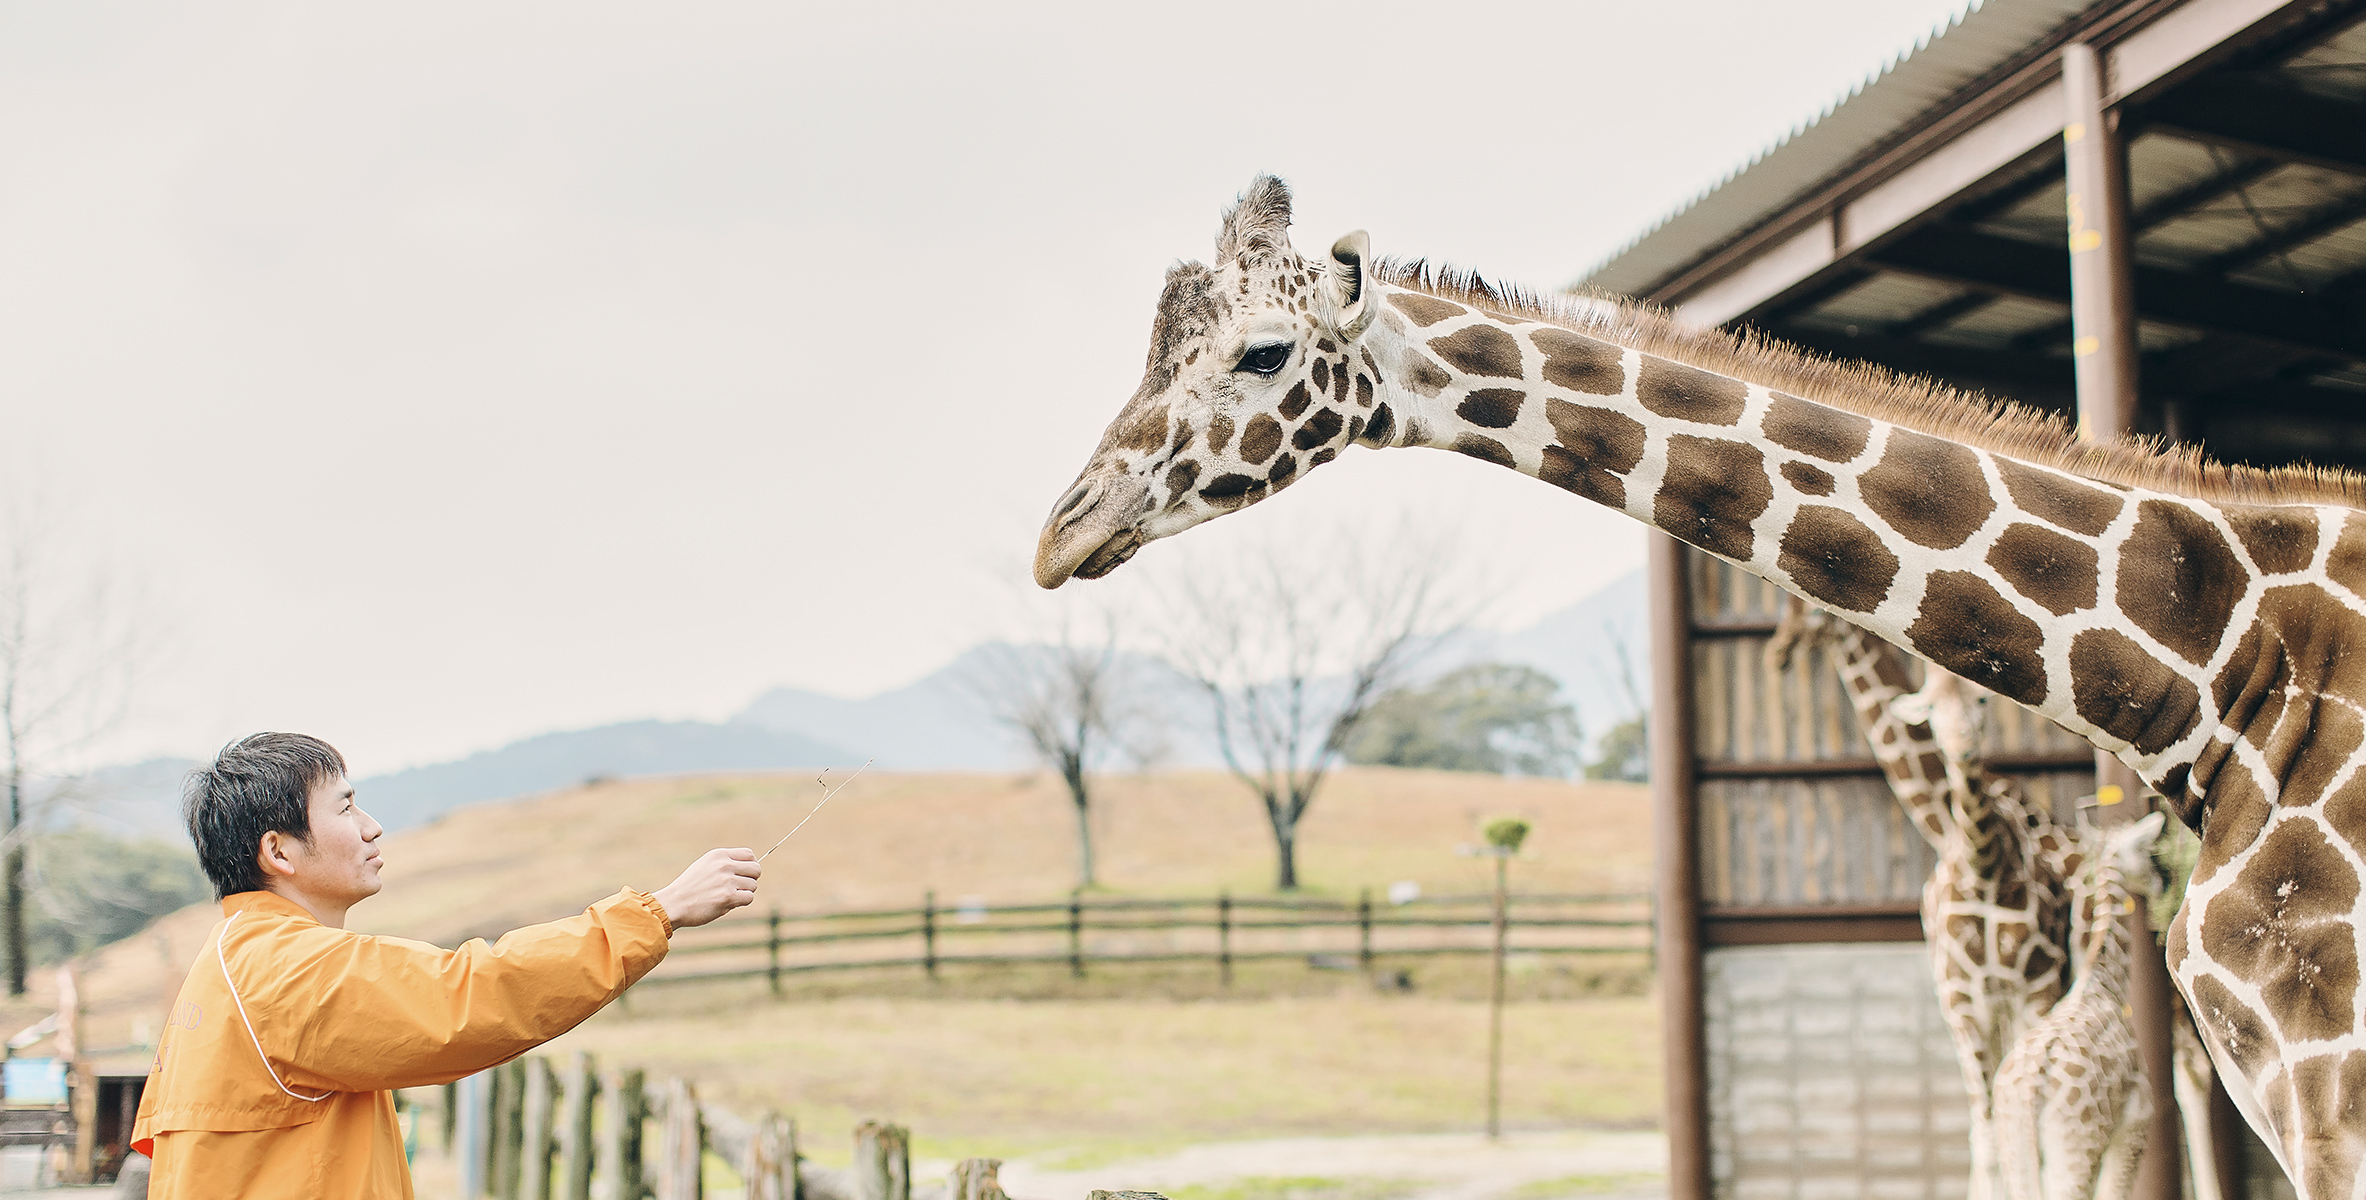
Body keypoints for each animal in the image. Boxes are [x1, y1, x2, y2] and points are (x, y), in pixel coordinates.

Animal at [1769, 605, 2082, 1200]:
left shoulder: (2033, 990)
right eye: (1783, 611)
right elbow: (1987, 1134)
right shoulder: (1964, 1002)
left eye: (1811, 614)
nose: (1778, 651)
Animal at [1996, 809, 2167, 1200]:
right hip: (2075, 1147)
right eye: (2147, 851)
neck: (2105, 983)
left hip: (2015, 1152)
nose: (2160, 884)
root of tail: (2029, 1091)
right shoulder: (2136, 1122)